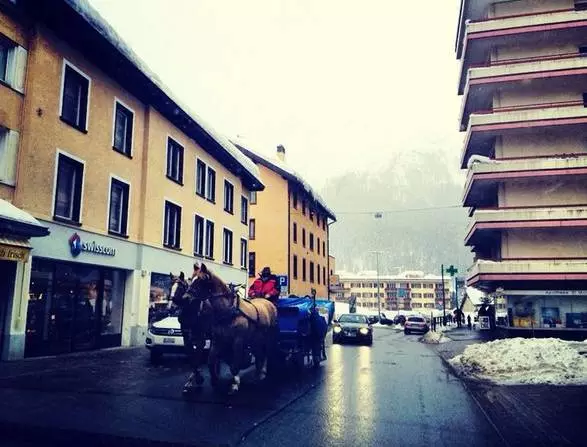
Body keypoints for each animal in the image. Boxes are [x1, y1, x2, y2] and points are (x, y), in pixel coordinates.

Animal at [188, 264, 280, 394]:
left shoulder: (238, 340)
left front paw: (235, 384)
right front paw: (214, 380)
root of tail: (267, 301)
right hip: (256, 338)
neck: (227, 311)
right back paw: (258, 372)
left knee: (266, 353)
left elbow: (235, 364)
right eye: (192, 278)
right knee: (259, 354)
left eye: (202, 279)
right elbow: (211, 361)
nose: (187, 296)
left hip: (268, 336)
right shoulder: (217, 340)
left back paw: (263, 372)